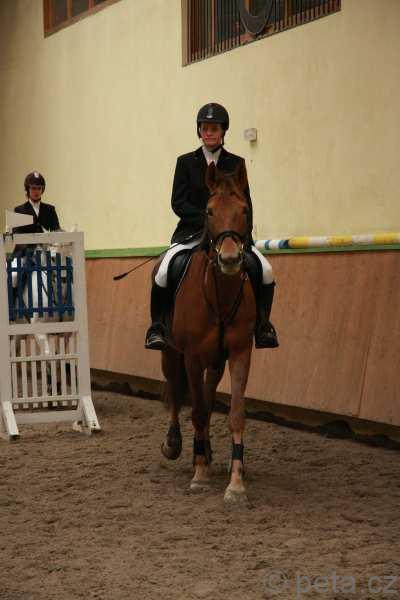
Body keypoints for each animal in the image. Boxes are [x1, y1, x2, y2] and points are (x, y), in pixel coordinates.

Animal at [160, 161, 257, 504]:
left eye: (244, 210)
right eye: (209, 211)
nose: (229, 260)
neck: (220, 295)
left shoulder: (240, 353)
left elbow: (235, 413)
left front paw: (236, 483)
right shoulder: (190, 357)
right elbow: (198, 411)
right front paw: (200, 474)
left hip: (215, 361)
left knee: (208, 391)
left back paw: (205, 451)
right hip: (170, 353)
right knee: (177, 394)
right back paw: (176, 445)